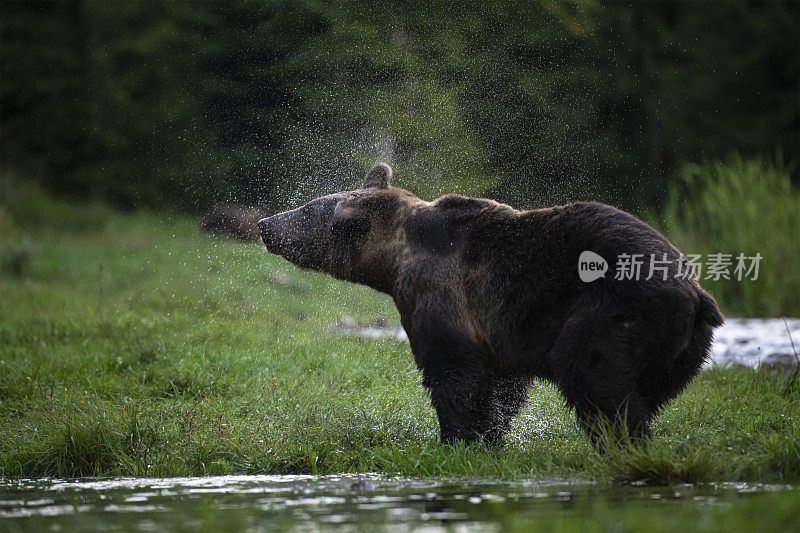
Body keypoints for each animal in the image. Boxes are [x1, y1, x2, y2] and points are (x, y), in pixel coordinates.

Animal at [258, 162, 724, 444]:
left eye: (306, 210)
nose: (264, 223)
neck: (393, 261)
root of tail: (698, 295)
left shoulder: (440, 294)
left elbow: (453, 371)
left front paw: (458, 437)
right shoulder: (499, 332)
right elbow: (503, 383)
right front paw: (491, 434)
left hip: (614, 313)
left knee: (593, 377)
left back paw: (615, 439)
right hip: (683, 348)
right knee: (646, 392)